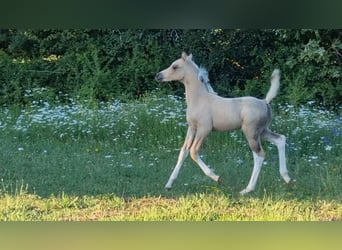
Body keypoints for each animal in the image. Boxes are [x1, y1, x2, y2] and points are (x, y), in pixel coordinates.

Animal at [155, 51, 292, 194]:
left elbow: (193, 152)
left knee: (259, 155)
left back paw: (247, 189)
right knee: (280, 139)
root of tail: (265, 101)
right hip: (263, 131)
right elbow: (183, 152)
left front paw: (216, 177)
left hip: (251, 132)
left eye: (175, 66)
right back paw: (287, 178)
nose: (158, 76)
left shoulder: (204, 129)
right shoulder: (192, 128)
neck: (199, 99)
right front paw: (169, 184)